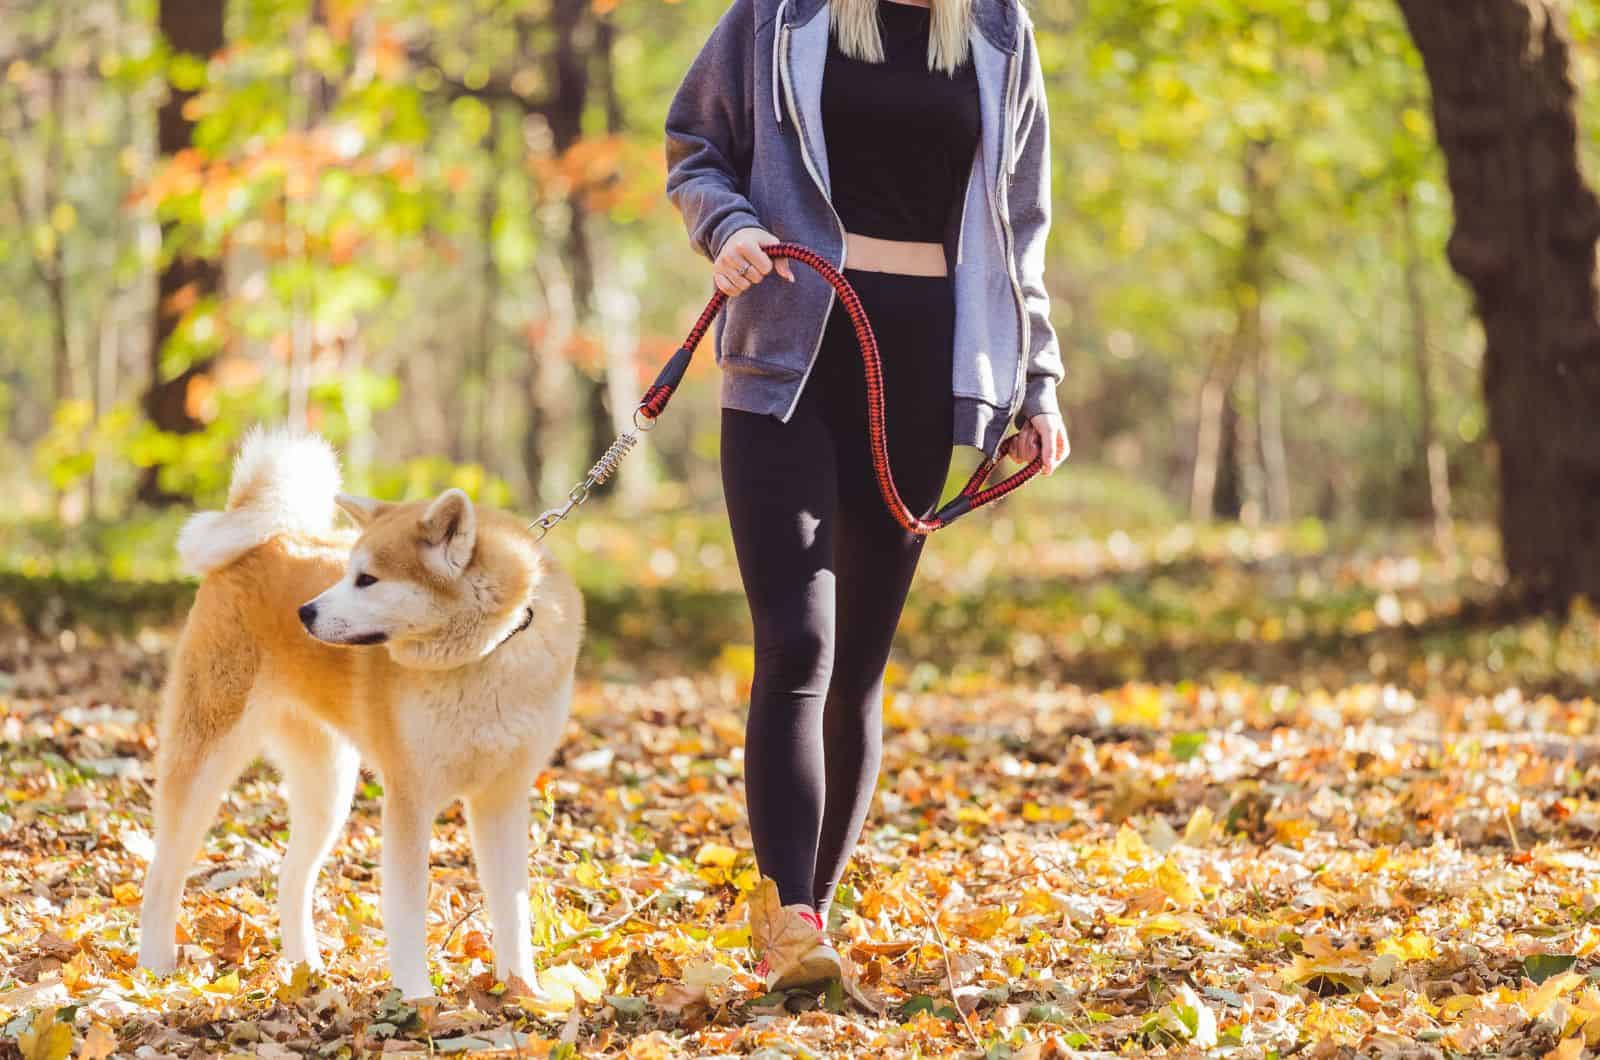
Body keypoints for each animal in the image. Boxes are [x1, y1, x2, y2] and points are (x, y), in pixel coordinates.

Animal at [137, 429, 585, 999]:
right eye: (349, 572)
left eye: (367, 579)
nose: (304, 612)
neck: (486, 658)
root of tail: (267, 539)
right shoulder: (410, 799)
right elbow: (408, 916)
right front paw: (419, 1001)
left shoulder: (501, 799)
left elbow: (513, 913)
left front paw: (525, 994)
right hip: (206, 761)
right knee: (162, 873)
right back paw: (154, 969)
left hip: (328, 788)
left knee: (290, 877)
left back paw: (305, 970)